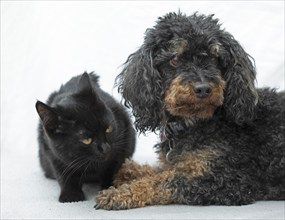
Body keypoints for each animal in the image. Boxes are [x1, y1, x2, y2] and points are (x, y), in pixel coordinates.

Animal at [35, 72, 135, 203]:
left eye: (108, 129)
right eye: (87, 140)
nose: (106, 148)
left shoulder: (121, 142)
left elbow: (112, 168)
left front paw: (109, 189)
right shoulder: (52, 152)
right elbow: (63, 174)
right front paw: (70, 195)